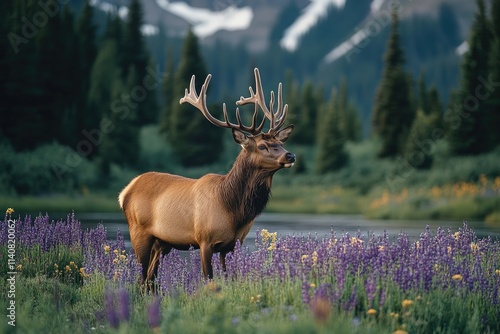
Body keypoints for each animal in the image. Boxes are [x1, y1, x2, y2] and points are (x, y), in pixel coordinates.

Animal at [118, 68, 294, 282]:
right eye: (262, 146)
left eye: (281, 143)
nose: (290, 155)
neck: (233, 209)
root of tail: (125, 191)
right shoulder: (205, 240)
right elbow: (208, 279)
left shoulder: (233, 244)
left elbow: (229, 278)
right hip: (138, 231)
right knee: (142, 278)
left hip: (162, 242)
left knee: (151, 279)